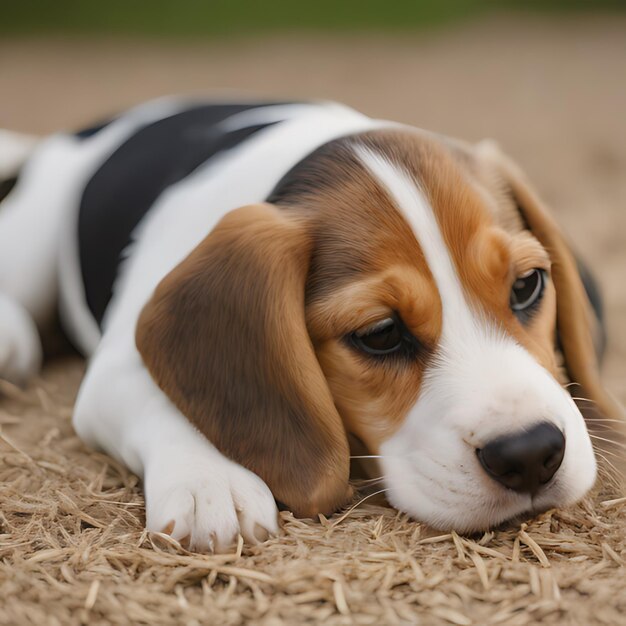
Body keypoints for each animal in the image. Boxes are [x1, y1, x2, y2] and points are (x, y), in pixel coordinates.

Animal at [0, 95, 620, 548]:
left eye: (526, 285)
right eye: (380, 334)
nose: (530, 454)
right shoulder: (113, 369)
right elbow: (157, 398)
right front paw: (209, 480)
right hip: (33, 236)